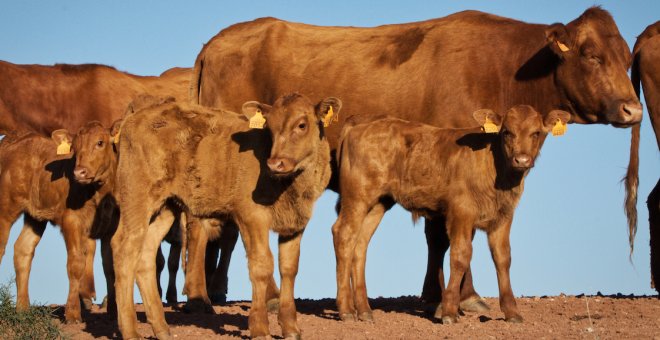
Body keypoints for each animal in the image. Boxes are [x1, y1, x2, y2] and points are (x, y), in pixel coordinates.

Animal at [0, 121, 120, 322]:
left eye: (100, 142)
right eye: (74, 148)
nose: (79, 172)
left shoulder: (112, 226)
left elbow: (110, 266)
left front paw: (114, 310)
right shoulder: (71, 221)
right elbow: (76, 263)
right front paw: (72, 312)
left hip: (35, 217)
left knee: (23, 249)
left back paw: (23, 309)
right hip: (6, 208)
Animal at [111, 93, 338, 340]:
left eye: (302, 125)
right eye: (269, 128)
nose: (275, 162)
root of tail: (132, 119)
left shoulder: (296, 224)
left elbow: (289, 268)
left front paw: (291, 328)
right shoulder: (252, 217)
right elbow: (261, 266)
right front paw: (259, 328)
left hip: (165, 207)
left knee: (145, 254)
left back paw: (161, 328)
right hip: (137, 199)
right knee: (124, 249)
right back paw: (130, 330)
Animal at [332, 106, 568, 324]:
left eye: (536, 133)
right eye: (507, 132)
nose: (522, 160)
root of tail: (361, 120)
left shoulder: (504, 217)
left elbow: (503, 258)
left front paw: (512, 312)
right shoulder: (461, 211)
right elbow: (461, 255)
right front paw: (449, 311)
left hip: (379, 202)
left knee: (360, 244)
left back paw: (364, 310)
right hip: (357, 197)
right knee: (343, 234)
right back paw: (347, 310)